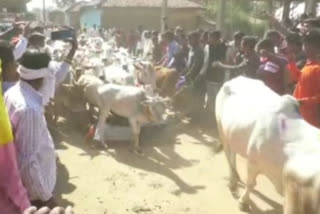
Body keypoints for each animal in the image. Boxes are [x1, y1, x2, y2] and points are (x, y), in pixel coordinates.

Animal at [215, 76, 320, 213]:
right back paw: (233, 182)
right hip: (221, 129)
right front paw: (243, 202)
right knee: (229, 155)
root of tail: (236, 79)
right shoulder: (253, 162)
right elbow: (251, 184)